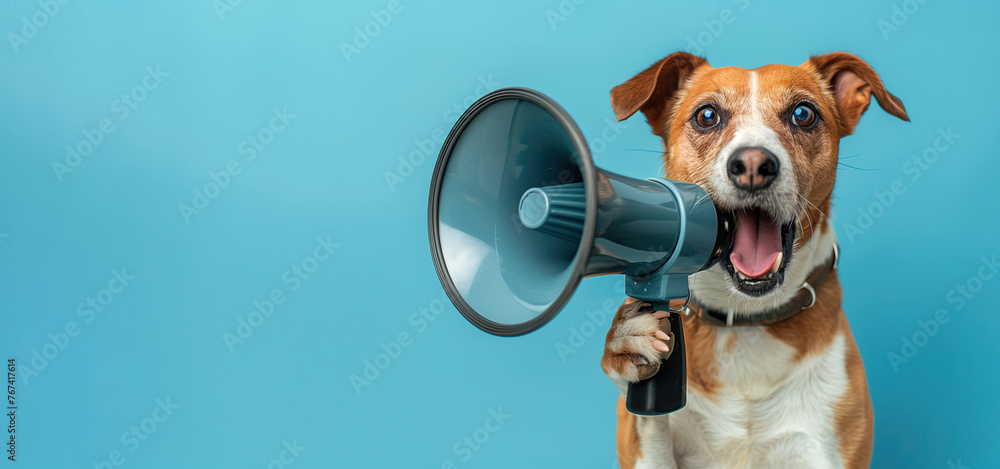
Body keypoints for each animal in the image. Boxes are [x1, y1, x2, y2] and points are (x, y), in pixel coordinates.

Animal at [596, 51, 912, 468]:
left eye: (803, 114)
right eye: (707, 116)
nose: (751, 164)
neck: (747, 319)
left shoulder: (823, 450)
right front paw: (627, 341)